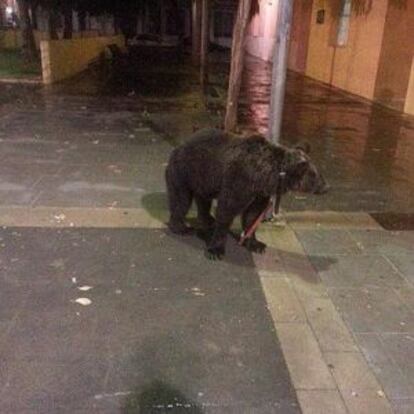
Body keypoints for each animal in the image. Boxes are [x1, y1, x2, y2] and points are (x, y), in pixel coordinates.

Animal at [163, 128, 328, 260]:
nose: (327, 186)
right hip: (184, 172)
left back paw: (207, 220)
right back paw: (182, 228)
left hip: (204, 180)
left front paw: (256, 243)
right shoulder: (239, 180)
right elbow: (227, 210)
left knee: (203, 201)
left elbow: (252, 215)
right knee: (181, 200)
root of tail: (179, 146)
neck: (267, 175)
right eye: (315, 175)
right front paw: (215, 250)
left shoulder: (260, 193)